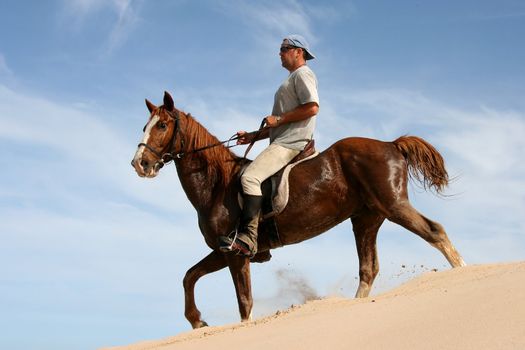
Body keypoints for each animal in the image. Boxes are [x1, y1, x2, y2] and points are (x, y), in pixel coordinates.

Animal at [130, 91, 462, 330]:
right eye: (145, 126)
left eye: (162, 125)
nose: (139, 164)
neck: (216, 183)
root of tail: (391, 144)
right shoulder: (223, 251)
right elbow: (189, 276)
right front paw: (197, 320)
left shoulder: (237, 253)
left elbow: (244, 303)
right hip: (366, 219)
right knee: (368, 269)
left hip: (393, 206)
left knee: (435, 232)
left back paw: (462, 272)